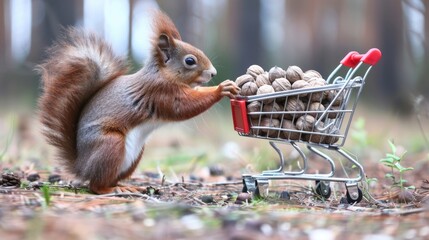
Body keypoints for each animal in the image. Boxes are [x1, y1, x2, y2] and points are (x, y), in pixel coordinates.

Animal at [38, 11, 239, 195]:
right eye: (190, 61)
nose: (213, 73)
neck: (162, 73)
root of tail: (81, 166)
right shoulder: (160, 92)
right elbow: (182, 107)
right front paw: (221, 89)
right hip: (110, 144)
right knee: (96, 185)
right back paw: (112, 189)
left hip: (134, 156)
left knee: (111, 178)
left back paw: (127, 186)